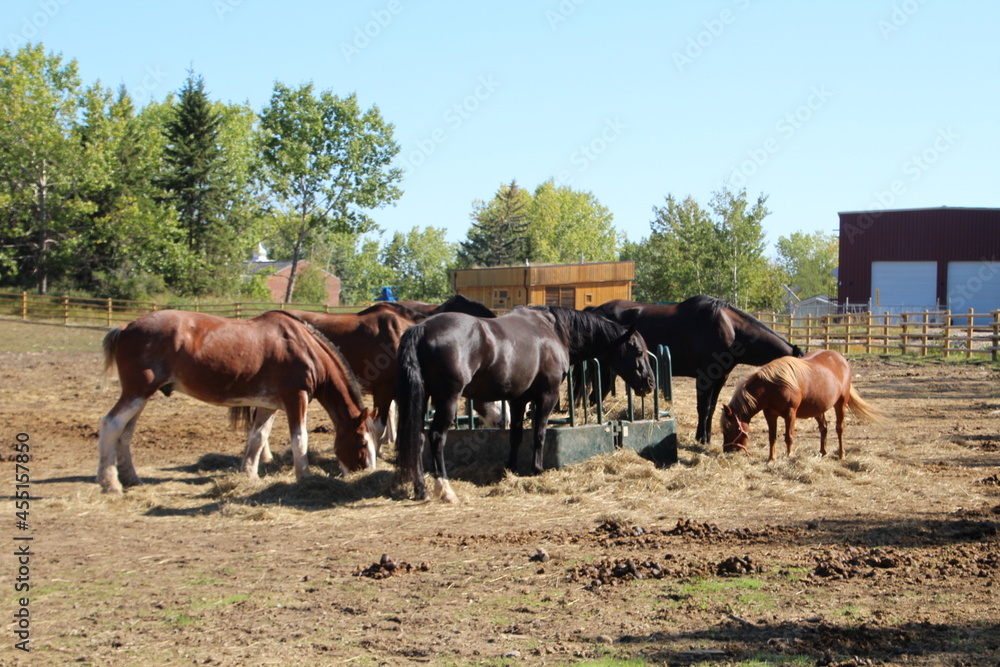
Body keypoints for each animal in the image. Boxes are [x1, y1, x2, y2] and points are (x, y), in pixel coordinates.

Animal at [97, 309, 377, 494]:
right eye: (362, 442)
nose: (366, 473)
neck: (305, 348)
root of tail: (125, 328)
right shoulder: (295, 399)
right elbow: (300, 439)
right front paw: (305, 477)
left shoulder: (268, 405)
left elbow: (257, 438)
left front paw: (250, 474)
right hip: (137, 392)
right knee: (111, 425)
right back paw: (110, 483)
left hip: (141, 396)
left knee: (126, 432)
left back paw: (131, 479)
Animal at [395, 305, 656, 503]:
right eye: (638, 351)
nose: (650, 383)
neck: (553, 330)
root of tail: (421, 328)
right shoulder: (547, 396)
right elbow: (539, 433)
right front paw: (537, 469)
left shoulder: (518, 400)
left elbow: (516, 434)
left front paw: (510, 468)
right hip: (447, 399)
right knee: (436, 437)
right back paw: (445, 489)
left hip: (423, 398)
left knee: (417, 437)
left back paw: (421, 490)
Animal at [584, 296, 802, 445]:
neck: (730, 329)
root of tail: (595, 310)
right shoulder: (705, 377)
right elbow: (703, 409)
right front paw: (701, 438)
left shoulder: (720, 379)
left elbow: (712, 408)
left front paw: (706, 437)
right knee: (594, 397)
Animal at [719, 349, 881, 461]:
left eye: (732, 429)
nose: (727, 451)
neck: (772, 386)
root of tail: (841, 358)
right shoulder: (770, 414)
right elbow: (772, 437)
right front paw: (771, 459)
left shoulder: (790, 413)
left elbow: (789, 436)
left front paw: (789, 456)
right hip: (819, 408)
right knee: (824, 428)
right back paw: (823, 452)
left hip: (841, 403)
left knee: (839, 428)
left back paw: (842, 454)